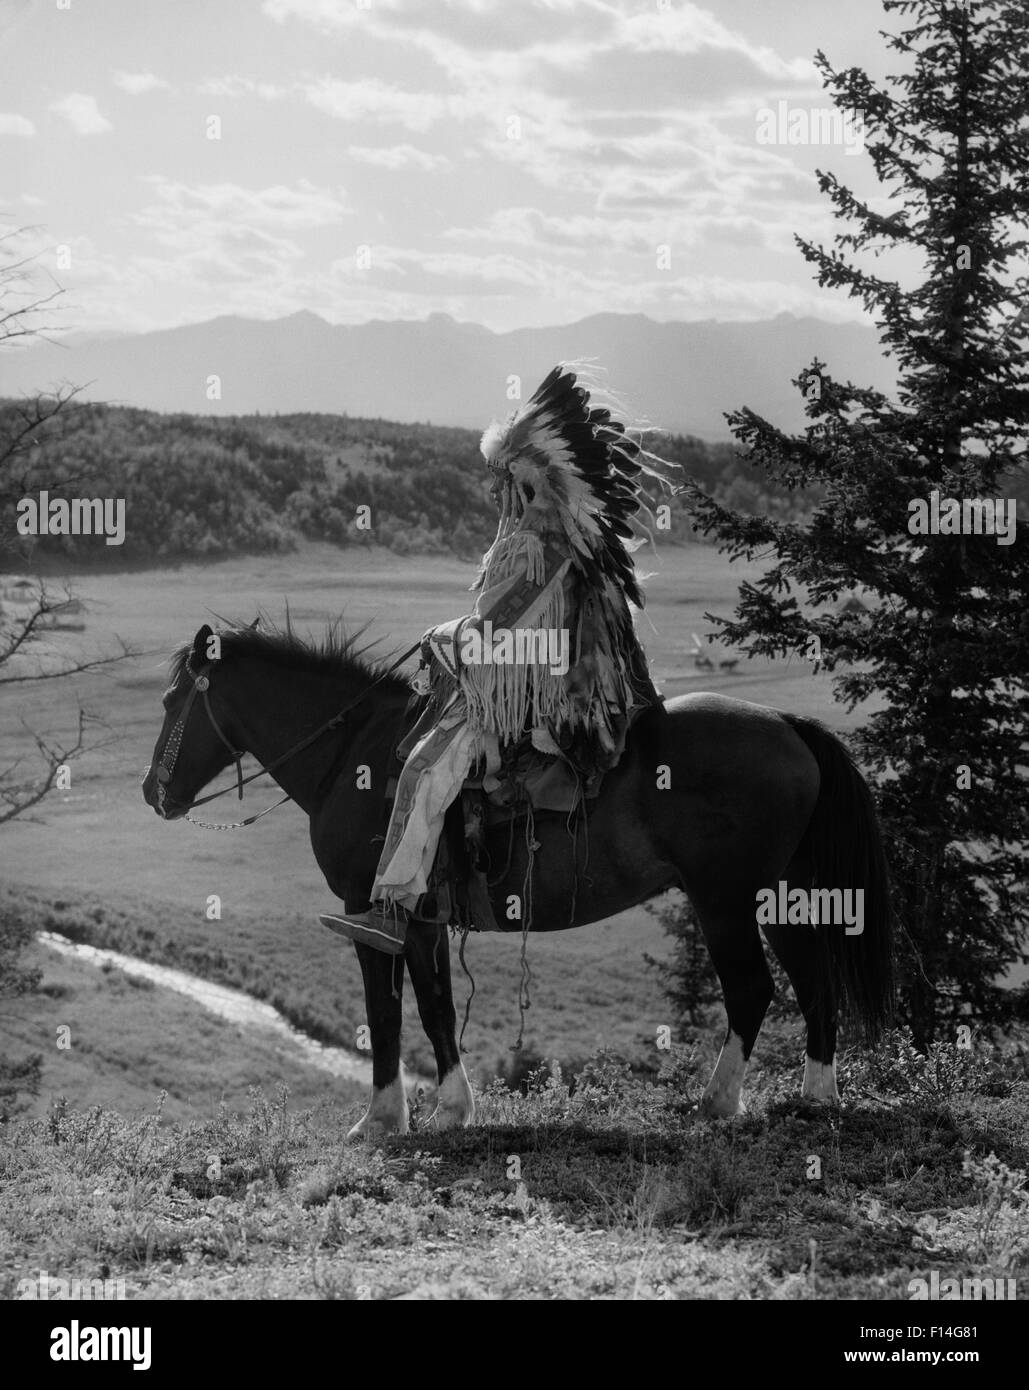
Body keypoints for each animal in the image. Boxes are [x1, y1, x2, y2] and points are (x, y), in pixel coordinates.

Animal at [142, 619, 895, 1139]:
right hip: (779, 898)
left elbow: (388, 1014)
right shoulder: (421, 922)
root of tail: (788, 725)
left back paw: (717, 1103)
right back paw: (816, 1098)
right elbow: (436, 1008)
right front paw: (449, 1109)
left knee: (752, 989)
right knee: (813, 984)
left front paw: (386, 1120)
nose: (155, 793)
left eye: (174, 699)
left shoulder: (371, 912)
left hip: (725, 901)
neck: (352, 757)